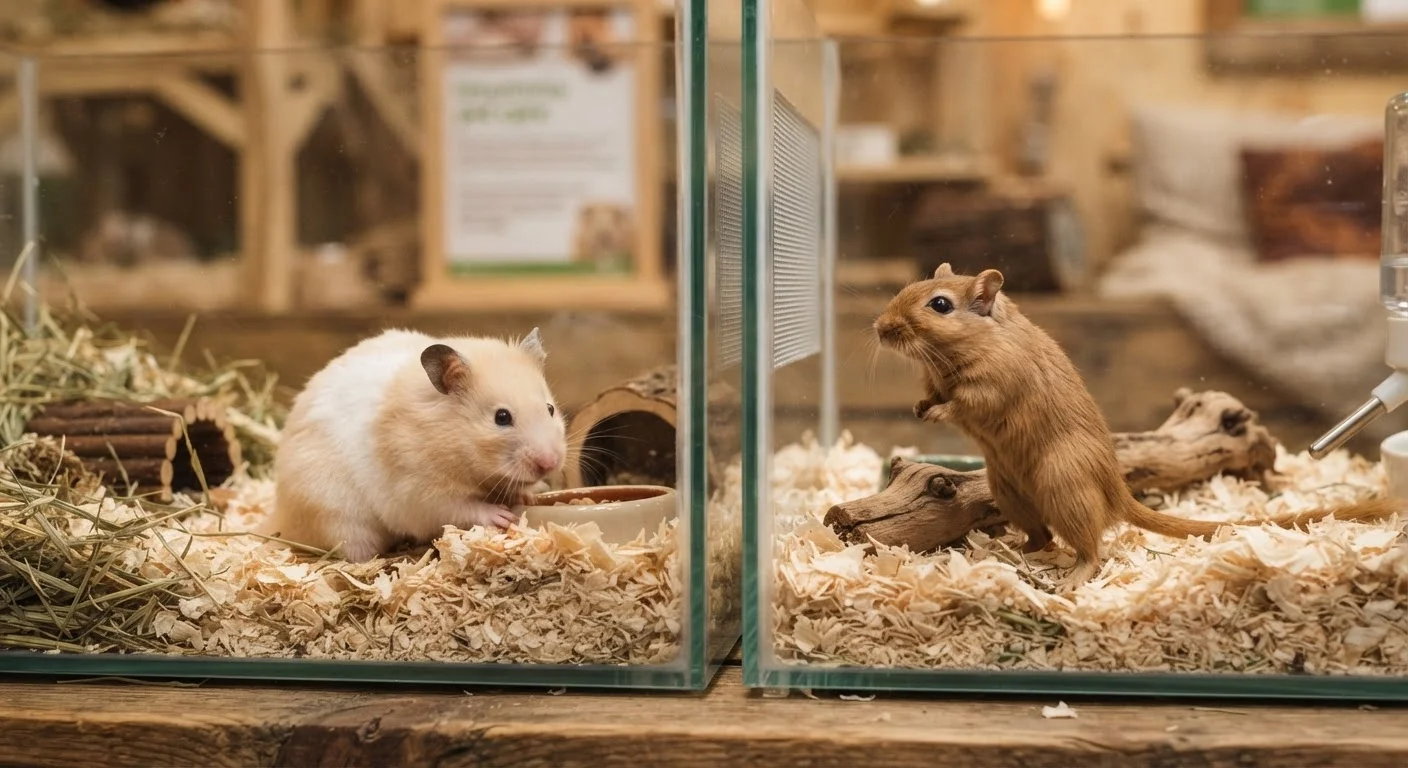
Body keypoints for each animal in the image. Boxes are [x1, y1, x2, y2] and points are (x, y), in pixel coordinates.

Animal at [265, 327, 567, 562]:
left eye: (550, 408)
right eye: (501, 417)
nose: (550, 463)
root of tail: (279, 518)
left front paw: (531, 495)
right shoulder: (420, 495)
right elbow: (462, 509)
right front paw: (502, 516)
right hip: (338, 519)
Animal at [873, 263, 1401, 591]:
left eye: (940, 305)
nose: (879, 328)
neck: (963, 349)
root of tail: (1116, 494)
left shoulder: (990, 385)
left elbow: (963, 403)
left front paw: (935, 414)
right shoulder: (936, 380)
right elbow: (933, 395)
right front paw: (919, 407)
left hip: (1062, 485)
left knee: (1091, 549)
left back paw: (1069, 579)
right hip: (1010, 490)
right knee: (1044, 537)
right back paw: (1015, 551)